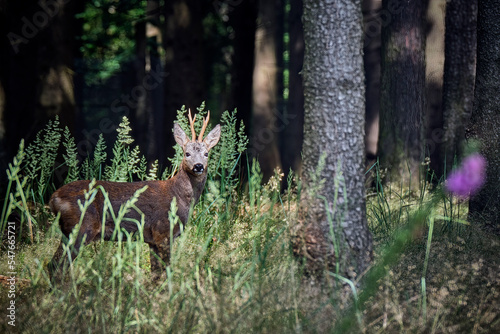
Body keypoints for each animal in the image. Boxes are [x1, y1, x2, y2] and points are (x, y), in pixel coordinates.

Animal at [47, 111, 220, 280]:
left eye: (206, 153)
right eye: (187, 153)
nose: (198, 166)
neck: (179, 197)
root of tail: (53, 198)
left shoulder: (152, 240)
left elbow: (155, 274)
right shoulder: (163, 232)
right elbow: (166, 272)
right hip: (81, 227)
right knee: (57, 265)